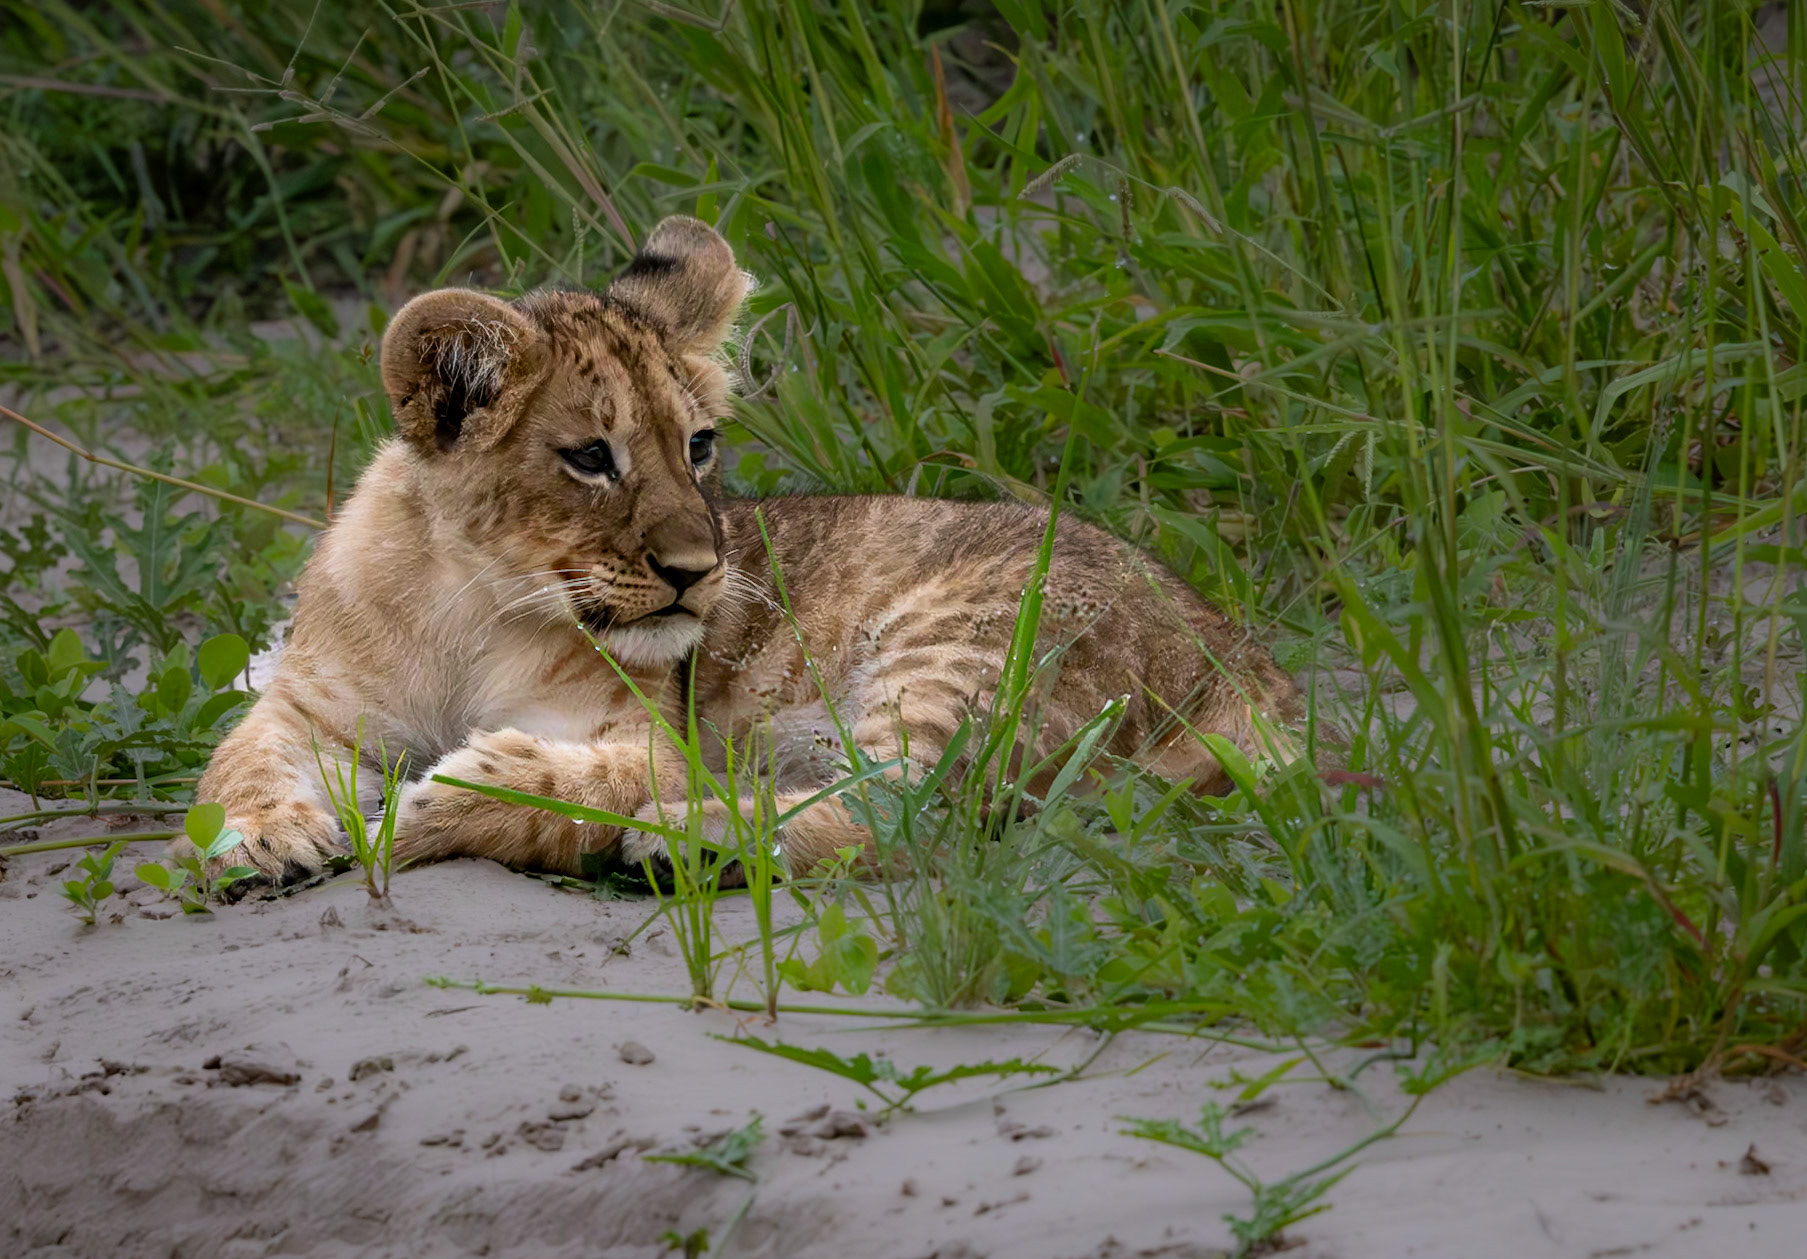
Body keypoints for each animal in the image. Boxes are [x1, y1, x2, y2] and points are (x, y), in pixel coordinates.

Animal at [190, 215, 1303, 888]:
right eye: (591, 458)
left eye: (698, 446)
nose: (698, 573)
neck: (469, 598)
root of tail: (1243, 651)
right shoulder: (308, 704)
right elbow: (232, 758)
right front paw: (261, 834)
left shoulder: (647, 733)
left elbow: (580, 780)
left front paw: (457, 788)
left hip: (964, 640)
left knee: (921, 812)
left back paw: (681, 835)